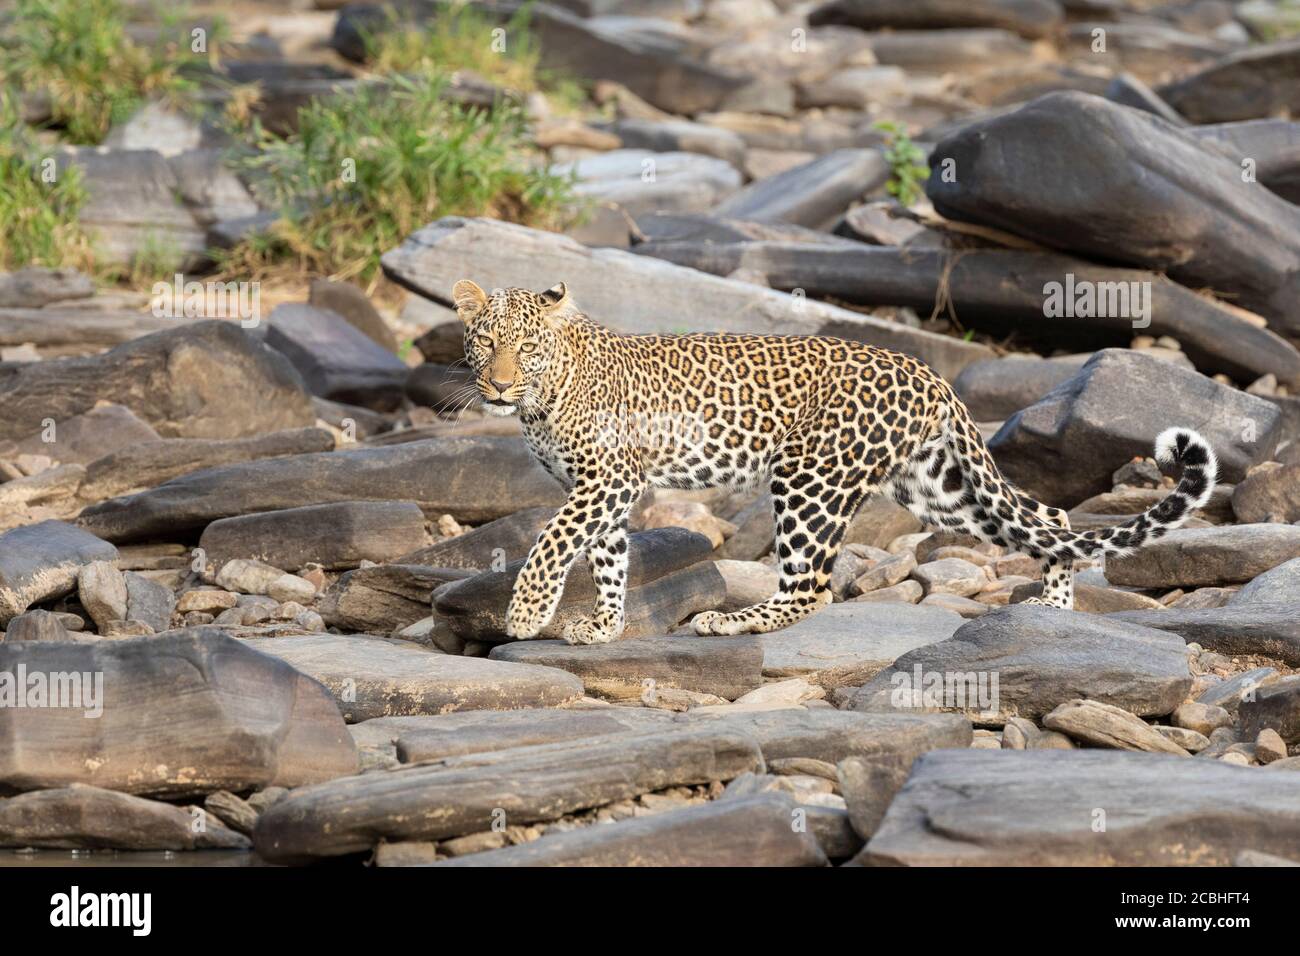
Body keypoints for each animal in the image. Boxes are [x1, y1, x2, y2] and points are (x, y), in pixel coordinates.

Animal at [457, 280, 1216, 647]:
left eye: (526, 348)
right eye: (486, 342)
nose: (497, 385)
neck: (546, 395)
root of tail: (927, 370)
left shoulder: (607, 477)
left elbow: (554, 540)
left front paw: (524, 614)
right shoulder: (604, 488)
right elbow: (606, 556)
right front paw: (603, 626)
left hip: (810, 476)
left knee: (811, 587)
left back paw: (730, 622)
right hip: (936, 487)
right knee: (1049, 517)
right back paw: (1053, 613)